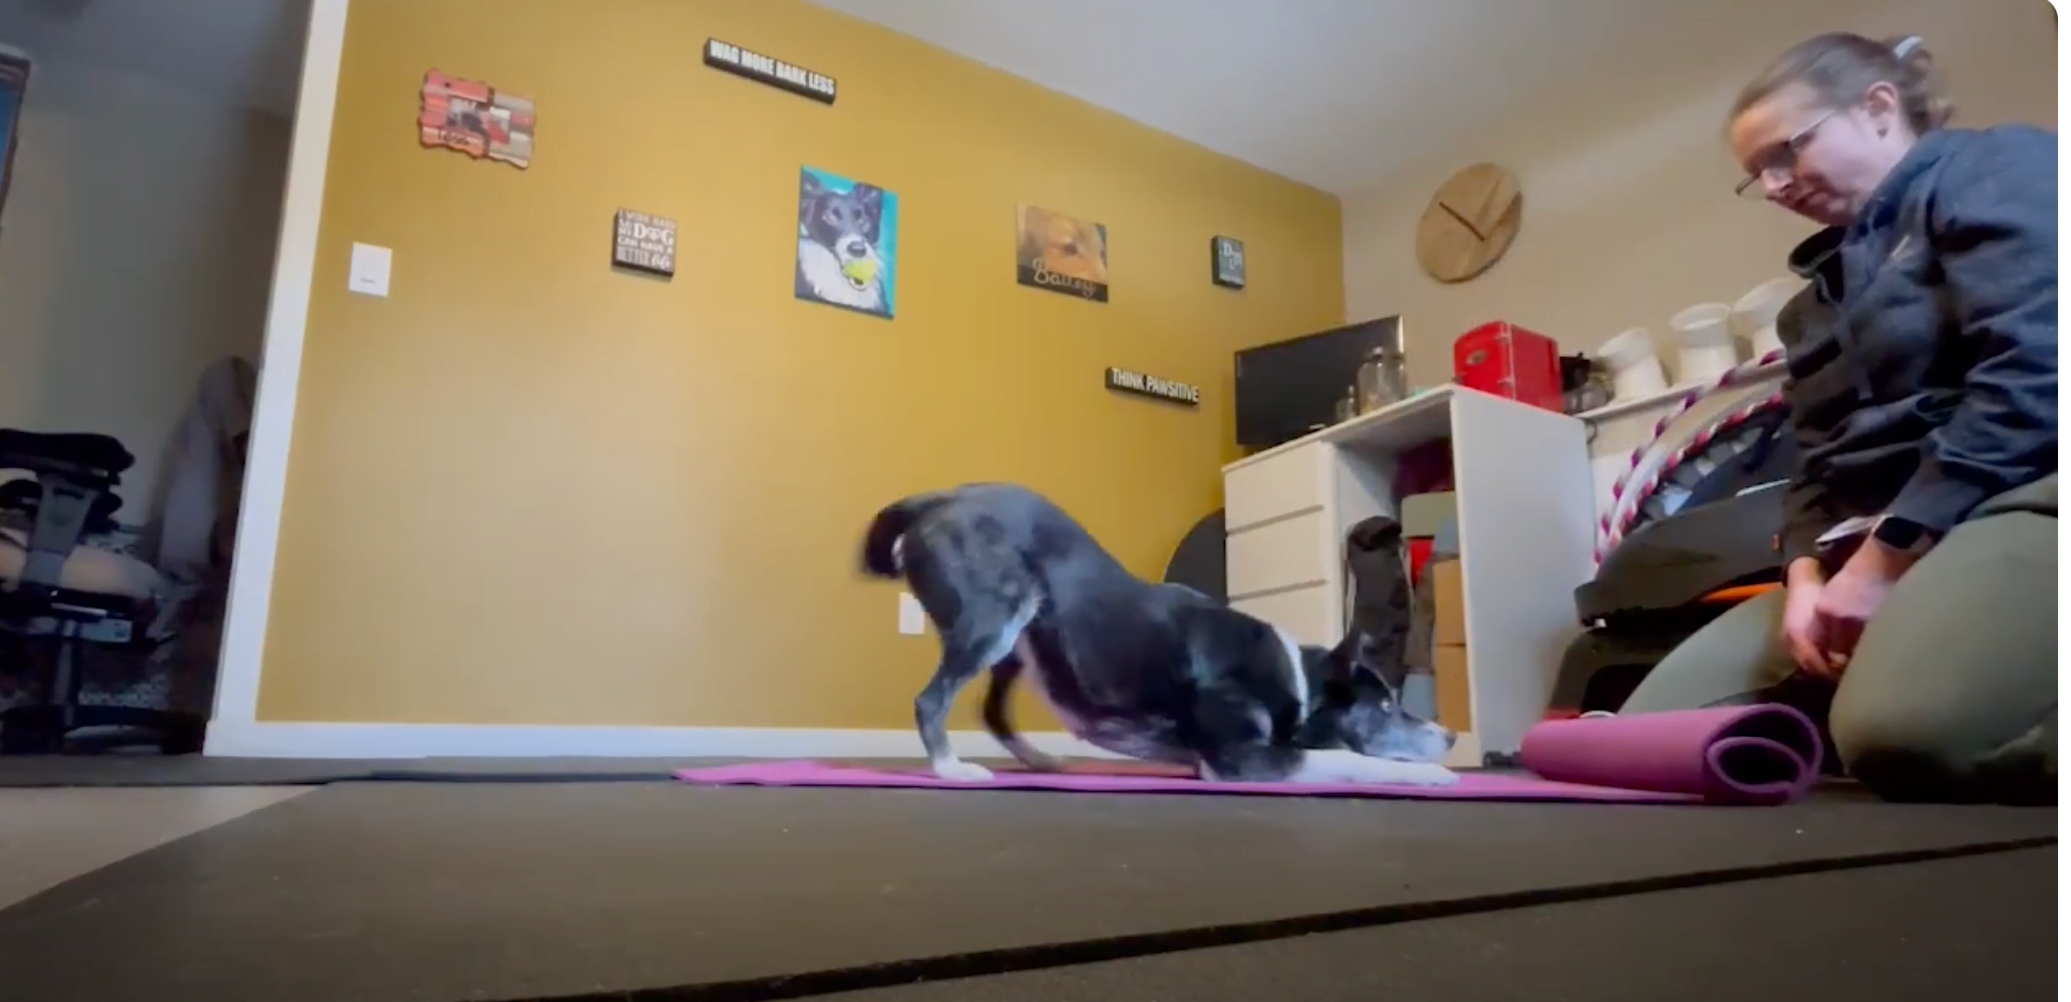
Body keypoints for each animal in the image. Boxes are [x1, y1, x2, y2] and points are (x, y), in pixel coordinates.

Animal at [860, 483, 1459, 786]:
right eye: (1385, 708)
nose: (1453, 737)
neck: (1296, 679)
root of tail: (936, 500)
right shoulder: (1237, 758)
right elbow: (1350, 760)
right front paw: (1436, 778)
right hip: (994, 617)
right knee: (930, 700)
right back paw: (950, 769)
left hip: (1022, 637)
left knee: (992, 711)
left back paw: (1041, 763)